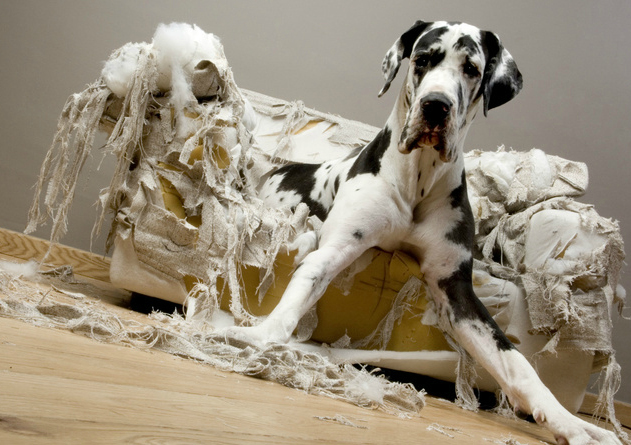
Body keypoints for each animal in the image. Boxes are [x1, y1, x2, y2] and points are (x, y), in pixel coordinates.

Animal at [228, 20, 624, 444]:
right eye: (422, 59)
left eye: (471, 68)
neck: (418, 177)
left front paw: (573, 423)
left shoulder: (457, 289)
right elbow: (305, 283)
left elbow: (516, 362)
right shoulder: (338, 246)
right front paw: (262, 335)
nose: (436, 105)